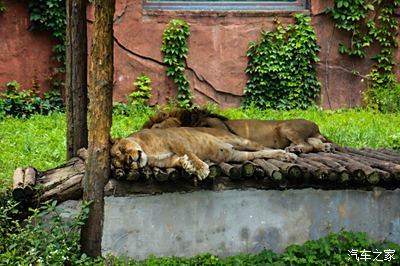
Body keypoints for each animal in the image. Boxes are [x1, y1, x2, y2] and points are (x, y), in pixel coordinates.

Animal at [109, 127, 296, 181]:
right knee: (260, 154)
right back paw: (285, 156)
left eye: (123, 150)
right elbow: (179, 159)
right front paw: (187, 166)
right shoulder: (167, 160)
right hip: (238, 155)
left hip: (240, 140)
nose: (131, 160)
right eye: (123, 164)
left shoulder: (174, 139)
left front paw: (201, 169)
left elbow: (189, 153)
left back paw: (289, 155)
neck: (148, 152)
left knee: (261, 146)